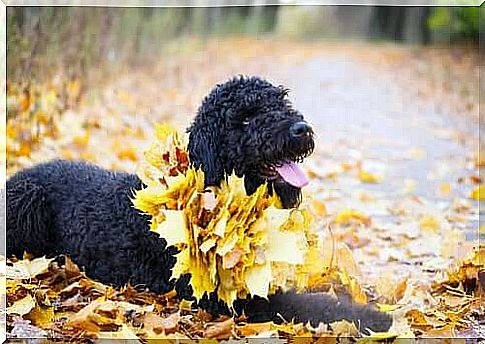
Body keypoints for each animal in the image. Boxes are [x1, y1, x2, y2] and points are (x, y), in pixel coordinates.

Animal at [6, 76, 394, 332]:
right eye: (246, 118)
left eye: (281, 103)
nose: (301, 129)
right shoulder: (229, 298)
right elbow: (314, 305)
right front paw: (374, 318)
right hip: (28, 205)